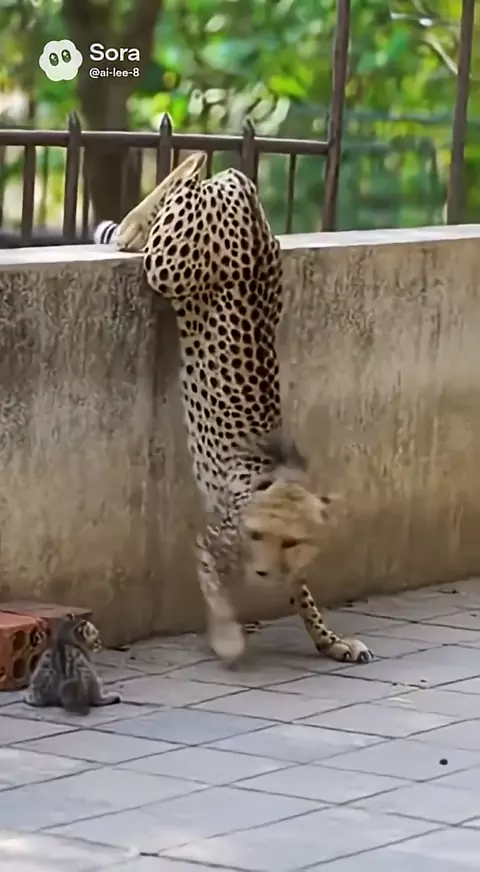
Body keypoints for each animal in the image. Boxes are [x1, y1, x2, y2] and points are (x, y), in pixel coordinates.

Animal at [94, 152, 373, 667]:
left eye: (290, 540)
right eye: (258, 535)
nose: (262, 573)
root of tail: (241, 192)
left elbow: (304, 596)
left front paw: (331, 640)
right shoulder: (210, 539)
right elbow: (214, 587)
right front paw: (228, 638)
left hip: (235, 250)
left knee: (207, 171)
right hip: (170, 265)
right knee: (187, 178)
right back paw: (134, 223)